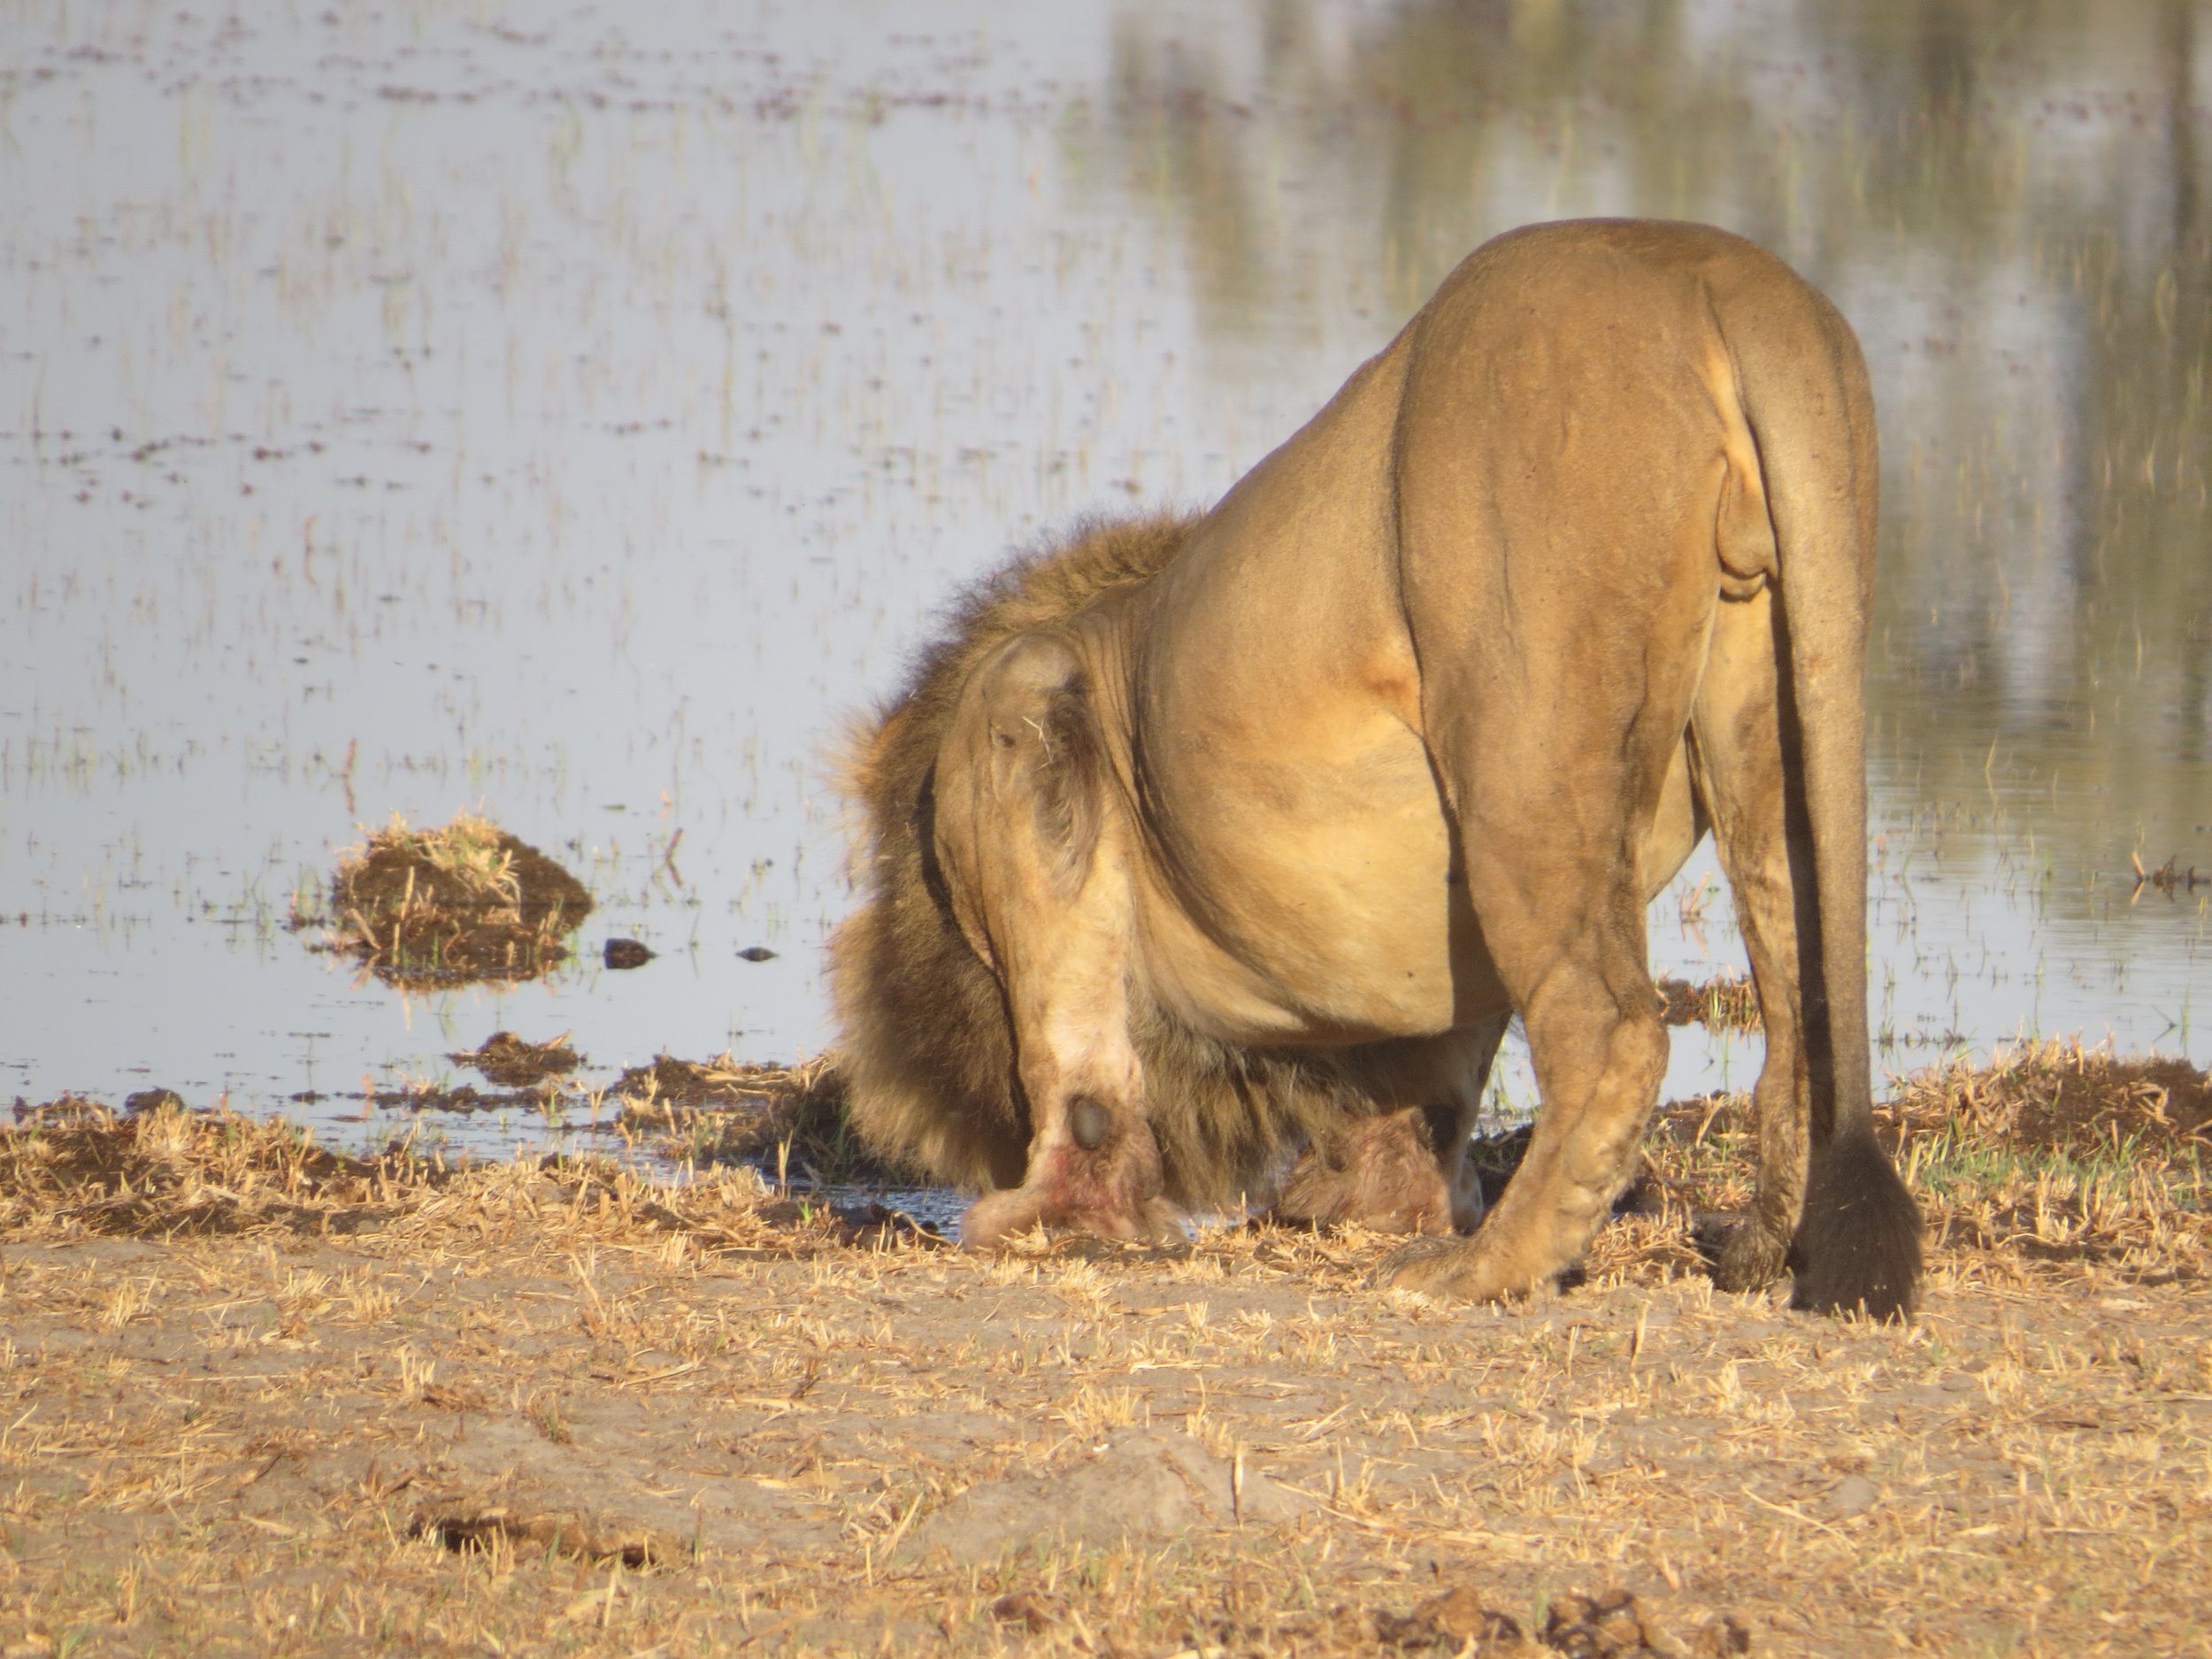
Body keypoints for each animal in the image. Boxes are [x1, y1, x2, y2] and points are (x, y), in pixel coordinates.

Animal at [829, 219, 1923, 1319]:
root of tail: (1721, 278)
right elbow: (1437, 1071)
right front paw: (1375, 1196)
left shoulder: (1017, 727)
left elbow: (1077, 1062)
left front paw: (1052, 1218)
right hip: (1770, 691)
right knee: (1797, 1010)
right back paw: (1753, 1254)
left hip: (1518, 727)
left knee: (1612, 1031)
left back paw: (1480, 1271)